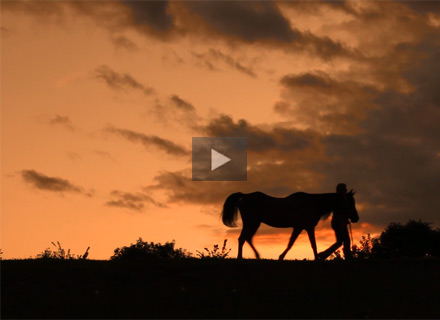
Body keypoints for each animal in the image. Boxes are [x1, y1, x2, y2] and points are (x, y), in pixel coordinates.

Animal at [222, 191, 360, 258]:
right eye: (350, 202)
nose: (356, 218)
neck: (313, 203)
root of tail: (243, 196)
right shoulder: (308, 227)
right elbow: (313, 245)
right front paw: (317, 258)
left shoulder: (299, 227)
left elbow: (291, 243)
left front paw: (281, 256)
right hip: (251, 222)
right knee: (242, 238)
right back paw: (240, 258)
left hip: (254, 223)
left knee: (247, 238)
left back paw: (257, 256)